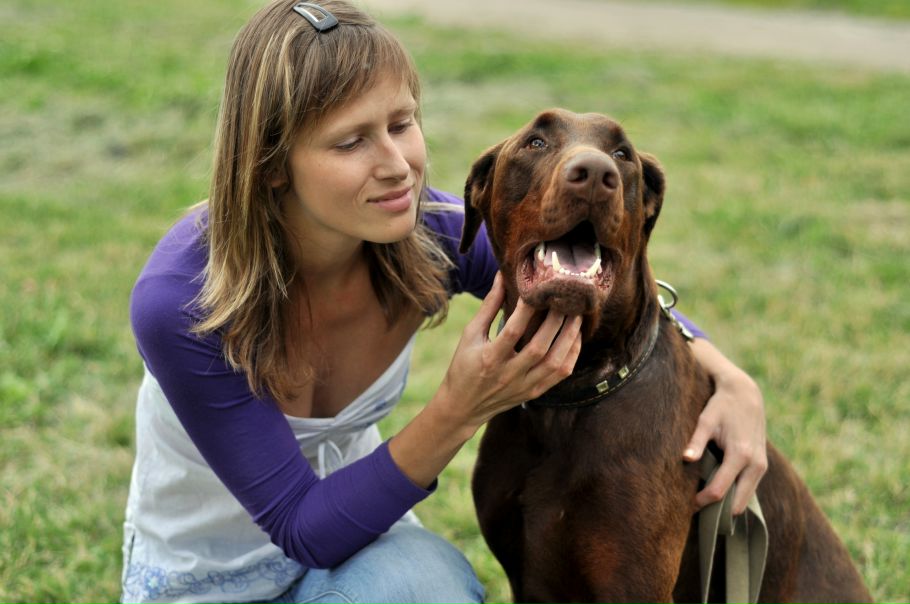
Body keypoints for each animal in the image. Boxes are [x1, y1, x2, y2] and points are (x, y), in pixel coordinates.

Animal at [459, 109, 873, 603]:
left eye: (623, 154)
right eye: (535, 142)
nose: (595, 174)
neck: (571, 397)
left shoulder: (633, 581)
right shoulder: (528, 580)